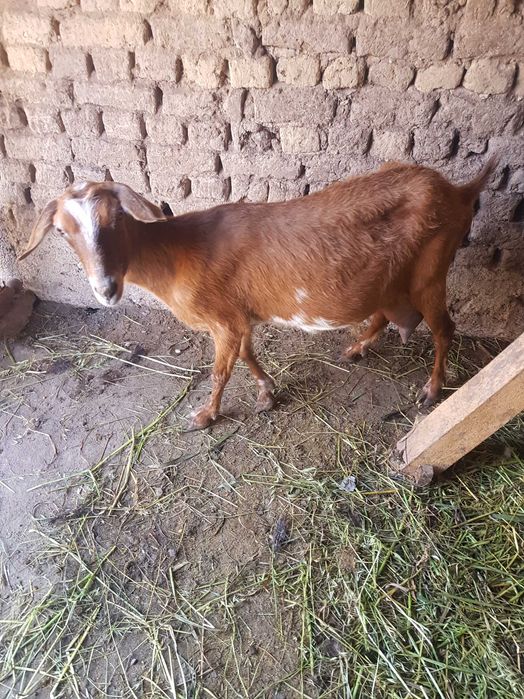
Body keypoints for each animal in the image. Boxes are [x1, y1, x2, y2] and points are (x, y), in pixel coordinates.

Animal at [19, 159, 497, 430]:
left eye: (116, 217)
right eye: (62, 231)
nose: (106, 288)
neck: (176, 253)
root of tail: (458, 191)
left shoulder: (222, 321)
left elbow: (219, 371)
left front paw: (205, 417)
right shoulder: (237, 315)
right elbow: (247, 354)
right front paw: (267, 393)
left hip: (432, 271)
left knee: (444, 329)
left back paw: (432, 390)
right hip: (393, 277)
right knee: (387, 313)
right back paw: (357, 348)